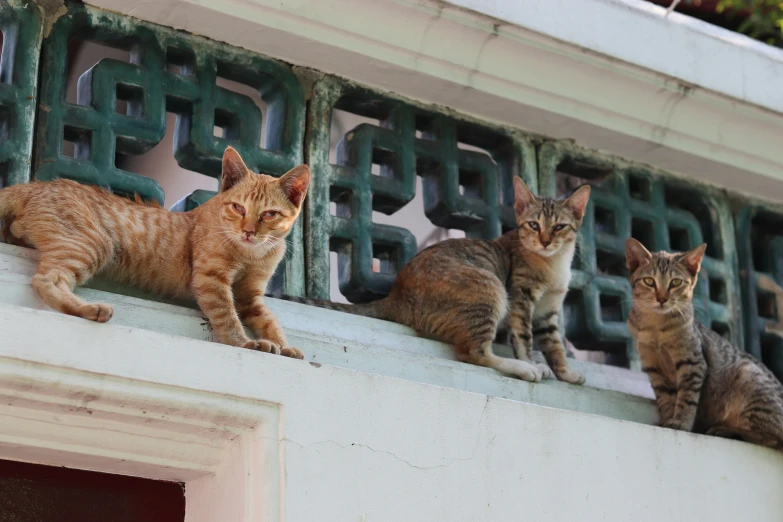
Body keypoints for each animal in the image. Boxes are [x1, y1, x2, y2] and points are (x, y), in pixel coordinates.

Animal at [0, 146, 308, 358]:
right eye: (238, 208)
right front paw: (244, 343)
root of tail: (38, 184)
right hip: (90, 243)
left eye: (269, 214)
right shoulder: (211, 280)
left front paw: (285, 346)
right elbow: (227, 316)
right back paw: (89, 309)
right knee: (45, 280)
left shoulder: (250, 296)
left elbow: (270, 322)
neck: (252, 255)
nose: (248, 232)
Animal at [284, 177, 592, 384]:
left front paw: (565, 373)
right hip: (489, 286)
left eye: (559, 227)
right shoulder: (520, 298)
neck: (554, 265)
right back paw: (521, 368)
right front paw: (530, 362)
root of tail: (397, 295)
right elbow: (524, 338)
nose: (545, 241)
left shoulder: (548, 311)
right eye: (533, 225)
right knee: (473, 353)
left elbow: (554, 345)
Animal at [628, 238, 783, 448]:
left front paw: (681, 422)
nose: (662, 299)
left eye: (675, 282)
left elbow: (686, 399)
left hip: (748, 374)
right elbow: (665, 400)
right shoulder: (655, 370)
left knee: (771, 437)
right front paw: (667, 420)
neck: (656, 328)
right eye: (649, 281)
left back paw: (727, 430)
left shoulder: (693, 363)